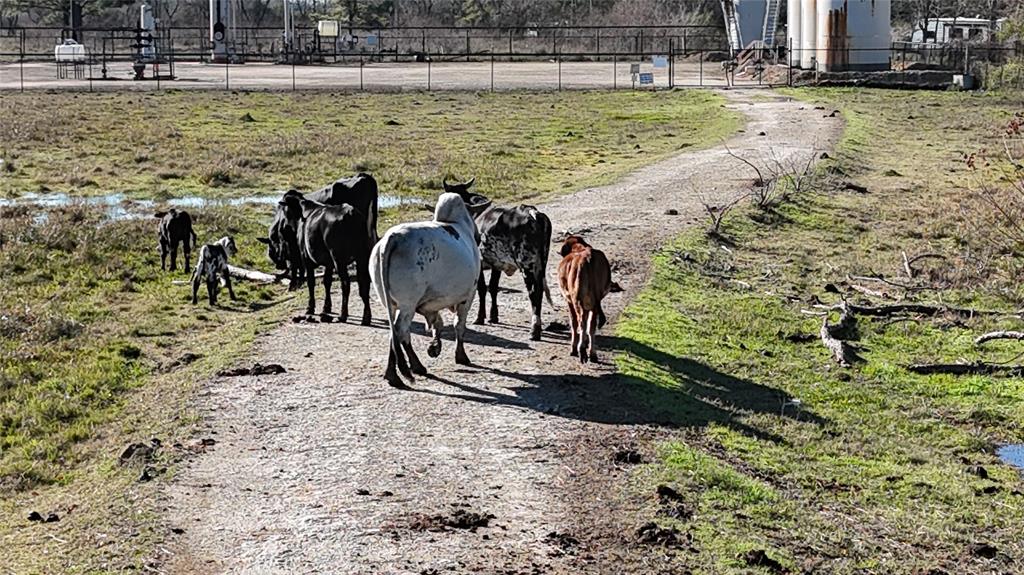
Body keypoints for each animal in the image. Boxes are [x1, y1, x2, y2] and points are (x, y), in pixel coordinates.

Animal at [296, 195, 372, 323]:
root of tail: (350, 212)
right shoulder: (329, 263)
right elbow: (327, 281)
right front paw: (326, 307)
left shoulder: (306, 258)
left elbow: (311, 282)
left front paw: (310, 308)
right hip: (362, 256)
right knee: (364, 282)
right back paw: (366, 317)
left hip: (339, 259)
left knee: (345, 283)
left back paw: (343, 315)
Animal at [446, 178, 557, 339]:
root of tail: (532, 212)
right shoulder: (497, 264)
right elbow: (493, 288)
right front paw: (493, 316)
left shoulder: (480, 263)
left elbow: (482, 289)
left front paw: (480, 318)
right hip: (541, 264)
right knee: (540, 291)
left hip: (527, 265)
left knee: (533, 292)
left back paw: (534, 330)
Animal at [557, 234, 610, 362]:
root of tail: (588, 257)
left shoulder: (569, 300)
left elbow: (574, 322)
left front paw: (573, 348)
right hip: (593, 302)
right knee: (591, 325)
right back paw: (592, 353)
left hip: (577, 299)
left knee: (581, 322)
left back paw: (581, 350)